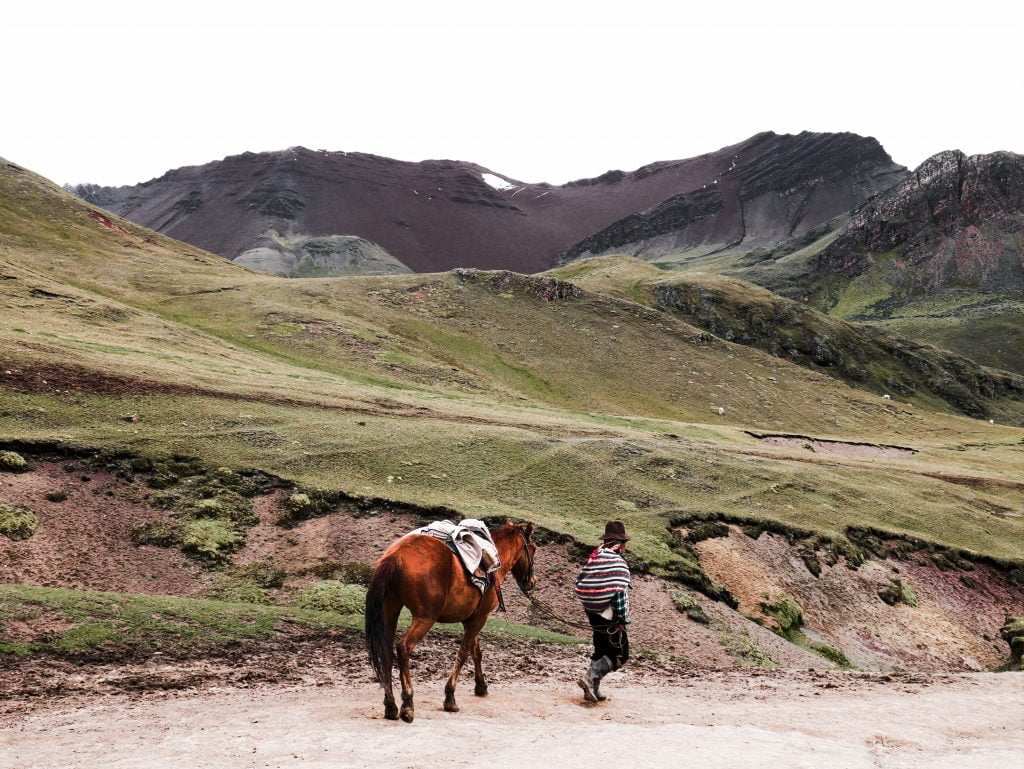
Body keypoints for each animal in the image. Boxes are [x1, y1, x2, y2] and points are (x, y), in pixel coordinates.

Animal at [364, 520, 536, 724]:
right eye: (533, 549)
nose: (532, 581)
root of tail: (396, 555)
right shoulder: (480, 618)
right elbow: (463, 654)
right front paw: (450, 698)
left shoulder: (471, 620)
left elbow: (476, 652)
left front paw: (481, 686)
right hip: (425, 618)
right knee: (403, 647)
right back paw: (408, 704)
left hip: (390, 612)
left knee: (386, 651)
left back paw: (391, 706)